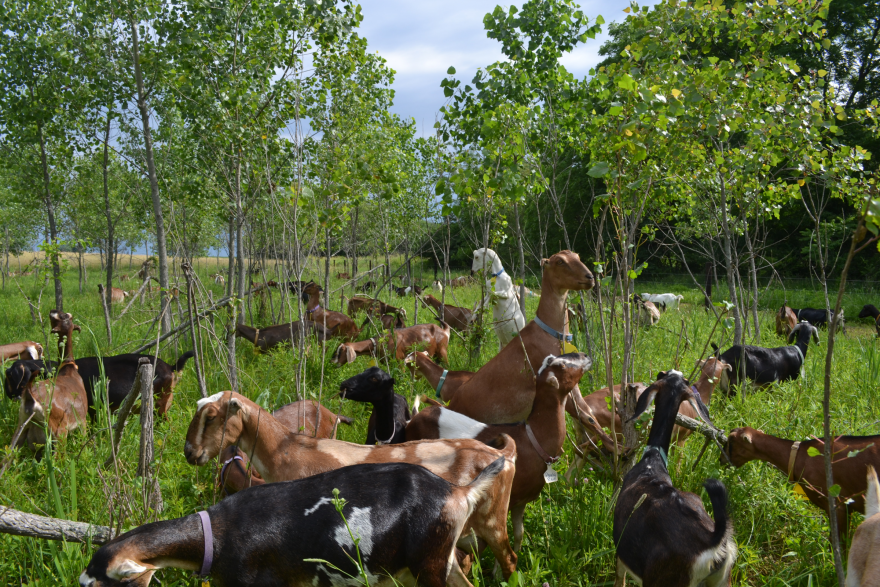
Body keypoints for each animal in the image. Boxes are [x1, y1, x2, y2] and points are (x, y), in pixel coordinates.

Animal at [16, 311, 88, 454]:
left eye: (66, 315)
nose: (53, 310)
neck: (69, 368)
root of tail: (30, 395)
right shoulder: (83, 421)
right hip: (59, 432)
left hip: (22, 427)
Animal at [407, 353, 592, 552]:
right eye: (562, 365)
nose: (585, 355)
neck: (533, 439)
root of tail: (414, 417)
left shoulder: (521, 502)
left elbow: (519, 534)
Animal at [614, 370, 736, 587]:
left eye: (660, 374)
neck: (652, 460)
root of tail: (713, 541)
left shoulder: (621, 555)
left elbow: (620, 580)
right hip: (722, 580)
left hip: (663, 579)